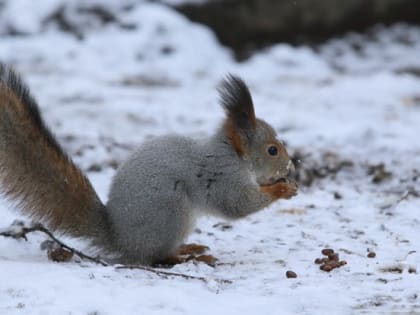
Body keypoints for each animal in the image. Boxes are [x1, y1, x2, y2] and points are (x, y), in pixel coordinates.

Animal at [0, 63, 296, 266]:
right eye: (272, 150)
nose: (290, 167)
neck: (233, 155)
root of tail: (120, 238)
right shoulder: (223, 177)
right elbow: (237, 205)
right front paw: (282, 189)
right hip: (172, 212)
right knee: (157, 257)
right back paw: (185, 257)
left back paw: (188, 249)